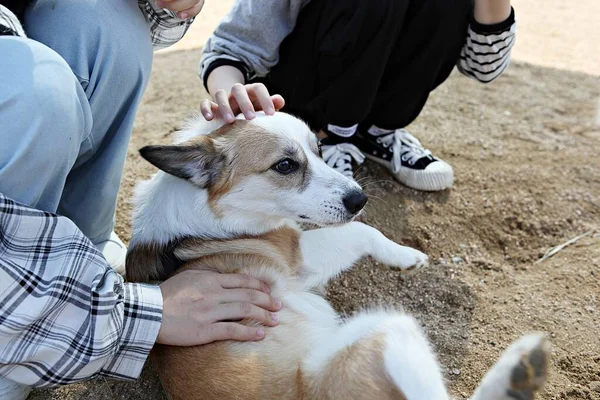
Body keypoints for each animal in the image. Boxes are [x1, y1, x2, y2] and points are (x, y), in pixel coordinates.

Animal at [126, 111, 548, 398]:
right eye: (285, 165)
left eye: (318, 151)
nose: (360, 198)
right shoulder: (298, 252)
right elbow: (363, 231)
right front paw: (404, 255)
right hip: (386, 328)